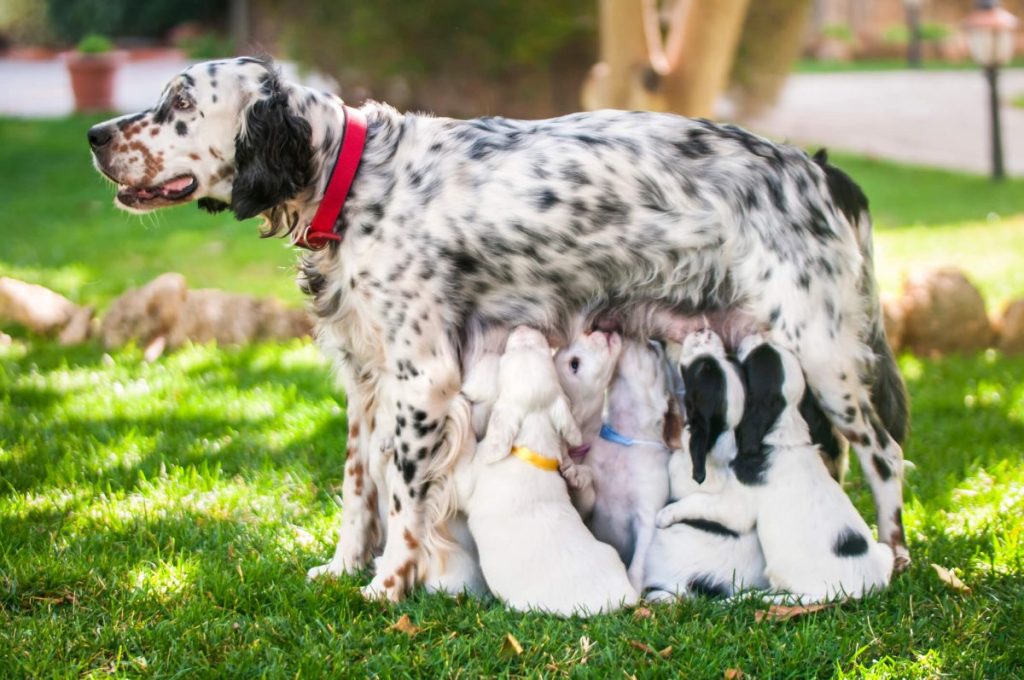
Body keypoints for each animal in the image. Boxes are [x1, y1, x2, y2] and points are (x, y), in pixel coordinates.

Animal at [458, 327, 634, 618]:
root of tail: (626, 599)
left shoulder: (471, 477)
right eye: (546, 356)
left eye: (507, 358)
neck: (532, 439)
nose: (524, 328)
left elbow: (468, 452)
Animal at [659, 333, 892, 602]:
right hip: (883, 551)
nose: (757, 334)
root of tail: (867, 590)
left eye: (757, 356)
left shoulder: (737, 505)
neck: (783, 430)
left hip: (800, 587)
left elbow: (700, 501)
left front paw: (665, 514)